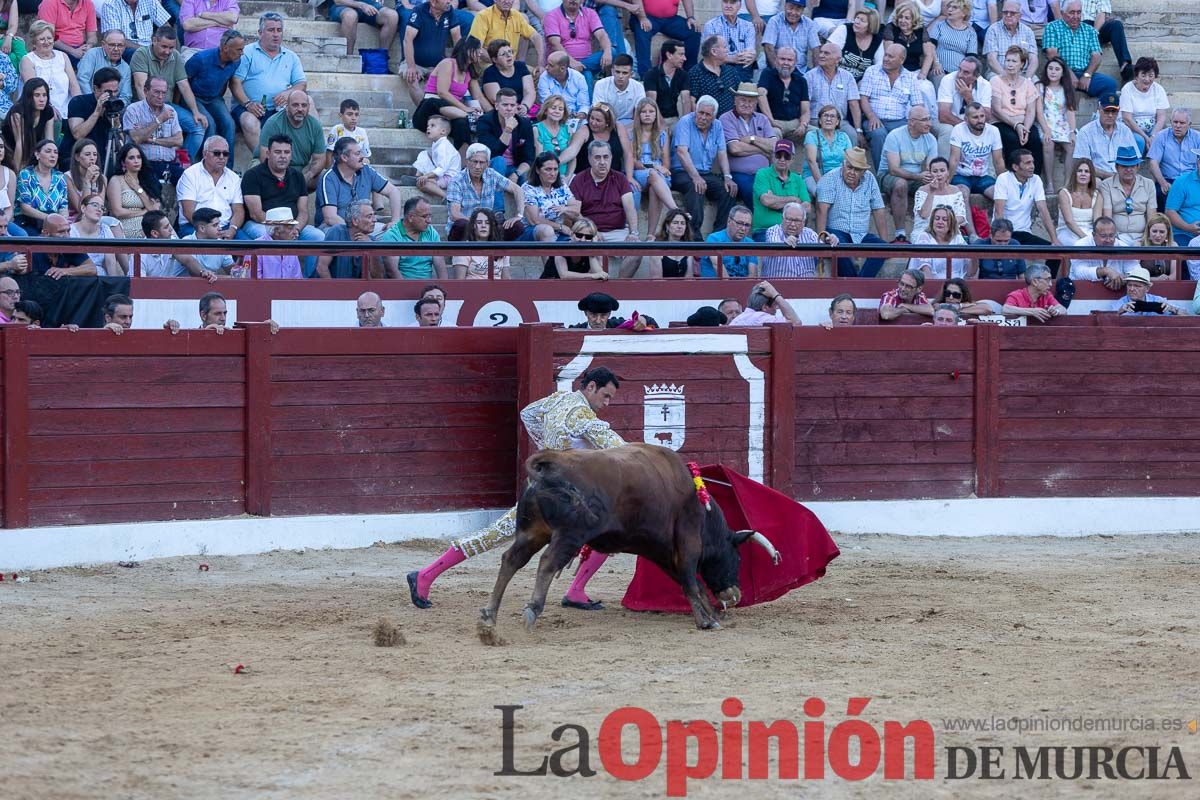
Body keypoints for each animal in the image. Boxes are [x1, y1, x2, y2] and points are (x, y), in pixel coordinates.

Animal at [477, 441, 777, 633]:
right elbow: (691, 580)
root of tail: (549, 463)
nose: (735, 594)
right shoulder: (687, 541)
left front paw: (710, 613)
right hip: (570, 534)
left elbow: (688, 581)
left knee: (511, 559)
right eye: (737, 558)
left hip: (533, 532)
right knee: (548, 563)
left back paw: (489, 616)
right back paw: (531, 610)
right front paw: (707, 621)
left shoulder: (661, 551)